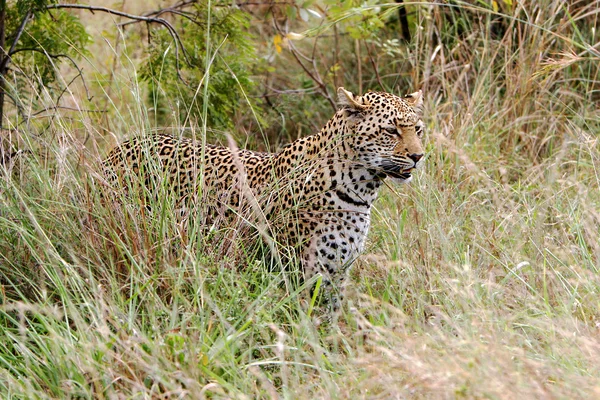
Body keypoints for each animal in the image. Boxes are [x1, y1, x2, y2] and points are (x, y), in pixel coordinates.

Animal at [101, 87, 424, 316]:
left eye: (418, 129)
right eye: (391, 130)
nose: (418, 156)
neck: (361, 188)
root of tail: (117, 149)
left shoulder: (337, 271)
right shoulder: (301, 269)